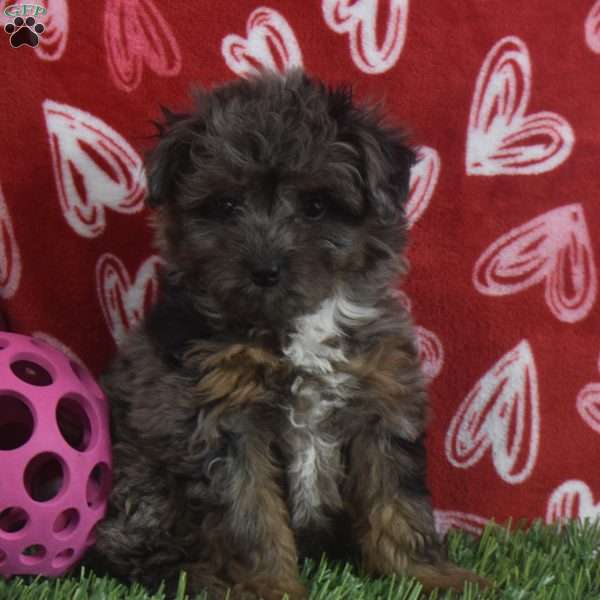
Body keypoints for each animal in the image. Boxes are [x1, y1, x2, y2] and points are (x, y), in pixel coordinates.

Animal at [95, 71, 488, 600]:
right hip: (142, 484)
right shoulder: (225, 419)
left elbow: (398, 499)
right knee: (132, 547)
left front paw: (427, 575)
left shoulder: (380, 400)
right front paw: (267, 586)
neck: (299, 323)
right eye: (226, 205)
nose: (265, 270)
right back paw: (198, 576)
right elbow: (251, 515)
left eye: (316, 206)